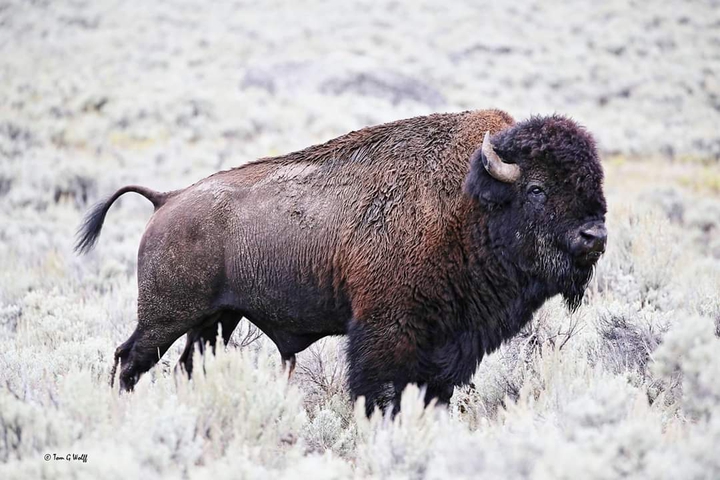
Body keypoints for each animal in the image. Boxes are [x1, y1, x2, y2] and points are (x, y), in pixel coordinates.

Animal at [76, 109, 607, 415]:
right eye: (537, 188)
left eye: (595, 184)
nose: (595, 236)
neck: (470, 204)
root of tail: (168, 200)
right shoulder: (385, 329)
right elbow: (379, 390)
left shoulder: (449, 344)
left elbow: (434, 391)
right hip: (166, 316)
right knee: (130, 359)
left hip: (212, 321)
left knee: (188, 364)